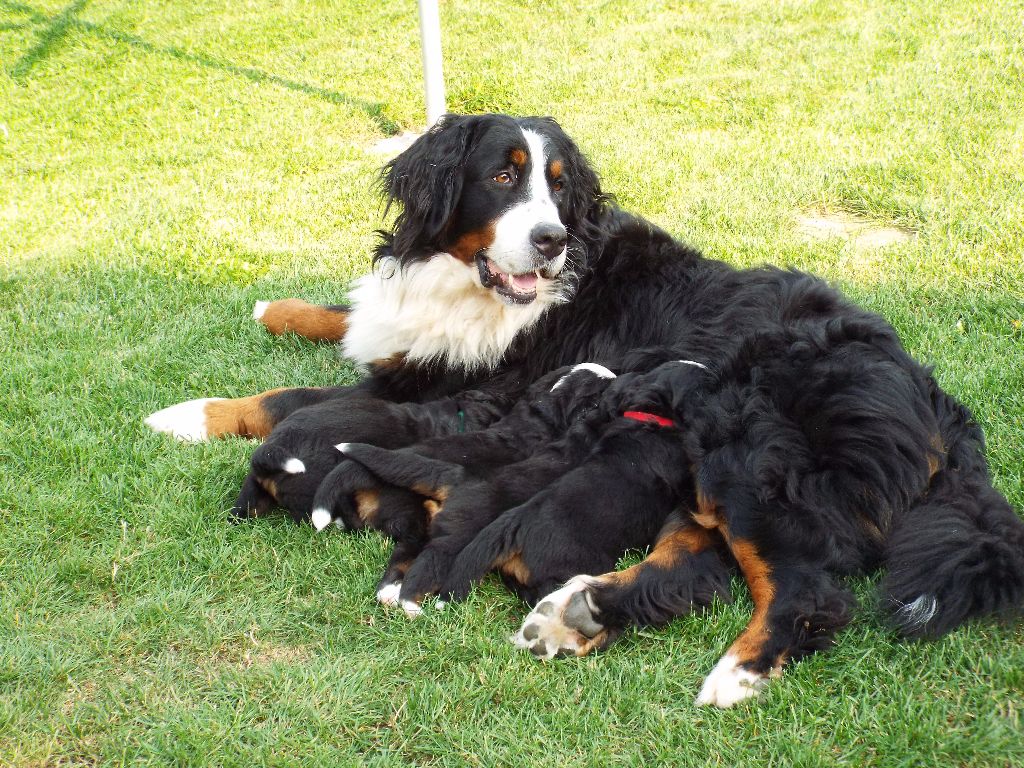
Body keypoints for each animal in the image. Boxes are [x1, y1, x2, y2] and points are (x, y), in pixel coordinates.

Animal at [144, 112, 1024, 708]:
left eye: (561, 186)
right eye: (504, 176)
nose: (550, 239)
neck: (477, 288)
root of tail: (935, 400)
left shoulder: (463, 387)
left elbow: (294, 400)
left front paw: (190, 414)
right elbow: (351, 317)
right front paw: (277, 308)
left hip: (750, 461)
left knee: (802, 590)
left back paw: (734, 673)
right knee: (693, 566)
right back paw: (580, 614)